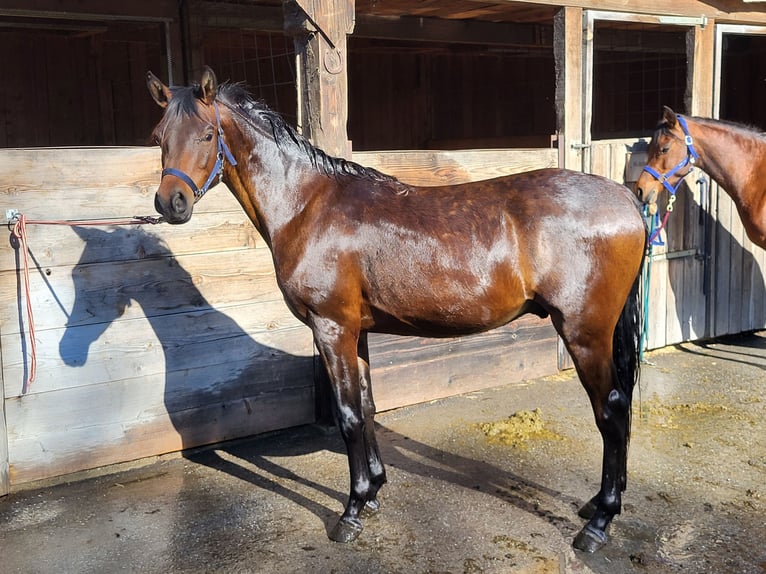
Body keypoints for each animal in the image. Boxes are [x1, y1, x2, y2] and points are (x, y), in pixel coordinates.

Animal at [146, 66, 647, 553]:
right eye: (157, 135)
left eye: (207, 134)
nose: (171, 204)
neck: (307, 206)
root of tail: (627, 199)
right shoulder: (356, 331)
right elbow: (366, 407)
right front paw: (372, 491)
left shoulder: (331, 328)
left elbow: (348, 416)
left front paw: (350, 513)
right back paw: (600, 503)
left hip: (585, 333)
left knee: (611, 410)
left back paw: (599, 522)